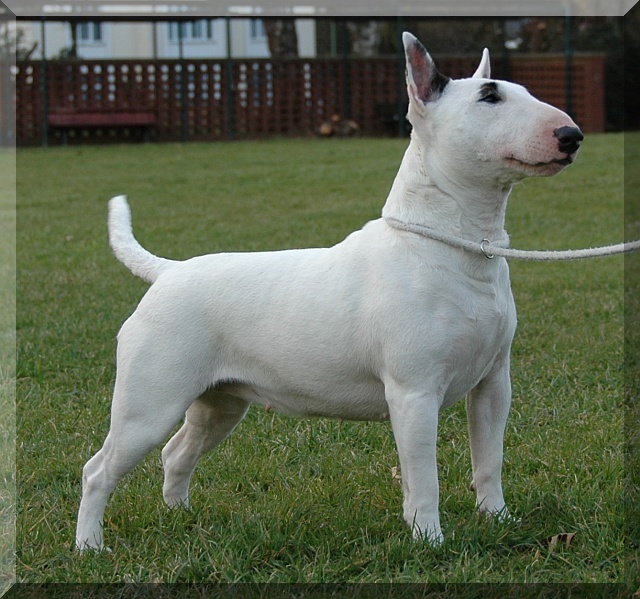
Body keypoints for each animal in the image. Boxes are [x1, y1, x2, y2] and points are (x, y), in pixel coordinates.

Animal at [74, 30, 580, 552]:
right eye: (489, 96)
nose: (572, 136)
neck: (459, 247)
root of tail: (168, 272)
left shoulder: (493, 385)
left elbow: (490, 460)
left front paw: (497, 520)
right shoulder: (414, 394)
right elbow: (424, 478)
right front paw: (429, 542)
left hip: (220, 403)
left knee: (176, 453)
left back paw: (182, 517)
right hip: (149, 405)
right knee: (98, 470)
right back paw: (90, 547)